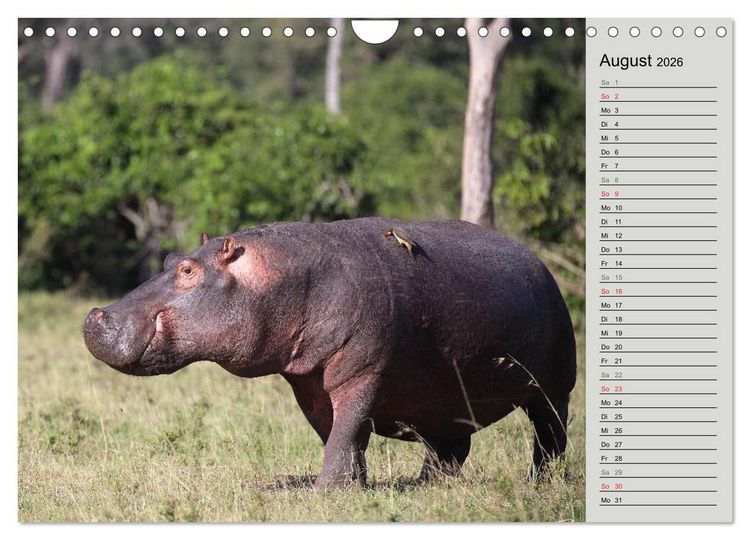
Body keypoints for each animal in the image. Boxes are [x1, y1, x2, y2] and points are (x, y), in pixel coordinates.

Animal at [83, 217, 576, 489]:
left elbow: (347, 428)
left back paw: (538, 484)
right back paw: (426, 486)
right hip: (445, 395)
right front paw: (354, 486)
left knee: (549, 437)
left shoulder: (364, 373)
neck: (283, 276)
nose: (95, 316)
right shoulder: (308, 382)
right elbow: (338, 434)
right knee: (451, 445)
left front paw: (325, 492)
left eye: (188, 270)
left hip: (553, 388)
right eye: (169, 259)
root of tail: (539, 262)